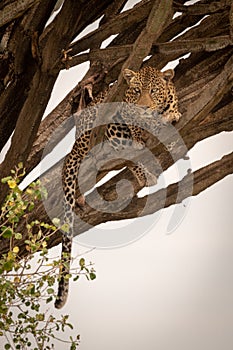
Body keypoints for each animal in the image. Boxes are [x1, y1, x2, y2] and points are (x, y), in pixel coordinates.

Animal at [54, 65, 180, 308]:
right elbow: (134, 140)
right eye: (137, 91)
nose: (143, 107)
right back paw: (145, 173)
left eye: (153, 90)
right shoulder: (119, 122)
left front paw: (171, 114)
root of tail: (75, 142)